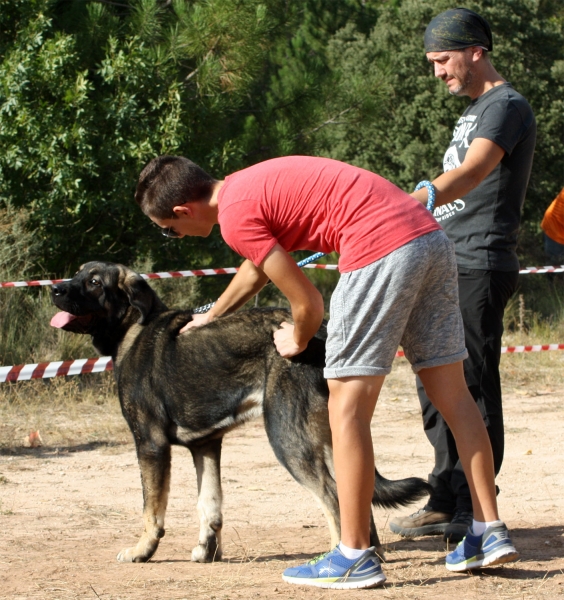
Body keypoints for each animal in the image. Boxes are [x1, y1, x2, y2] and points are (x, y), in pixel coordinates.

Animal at [50, 262, 430, 564]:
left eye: (94, 282)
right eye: (79, 274)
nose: (54, 288)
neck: (134, 326)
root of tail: (319, 332)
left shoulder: (150, 445)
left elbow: (152, 510)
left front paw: (142, 551)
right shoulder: (205, 446)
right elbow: (210, 504)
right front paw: (207, 551)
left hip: (288, 439)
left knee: (333, 498)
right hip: (327, 438)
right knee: (356, 497)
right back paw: (368, 556)